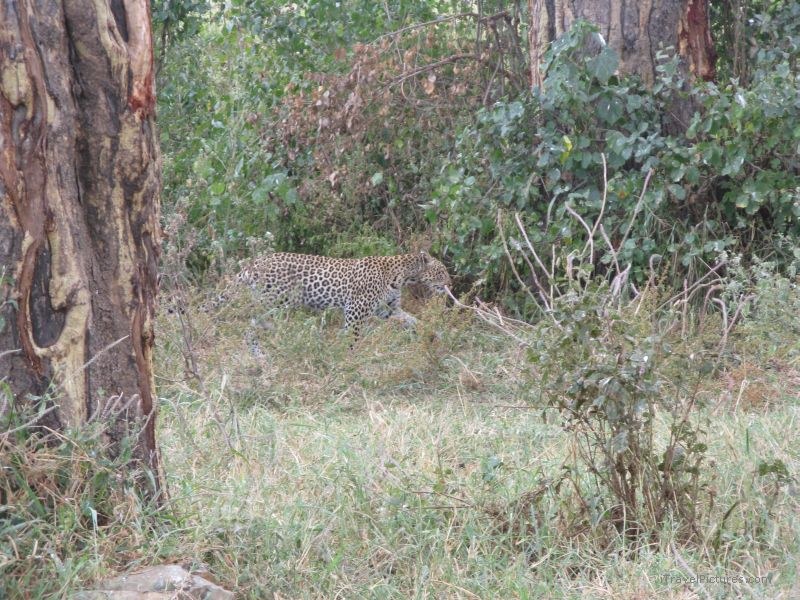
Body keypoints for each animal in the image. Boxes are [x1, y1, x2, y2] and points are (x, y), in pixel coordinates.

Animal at [207, 251, 451, 342]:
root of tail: (254, 262)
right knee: (251, 323)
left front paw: (432, 331)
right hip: (275, 302)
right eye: (441, 272)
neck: (402, 276)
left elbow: (411, 319)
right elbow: (352, 336)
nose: (450, 283)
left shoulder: (389, 309)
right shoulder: (355, 312)